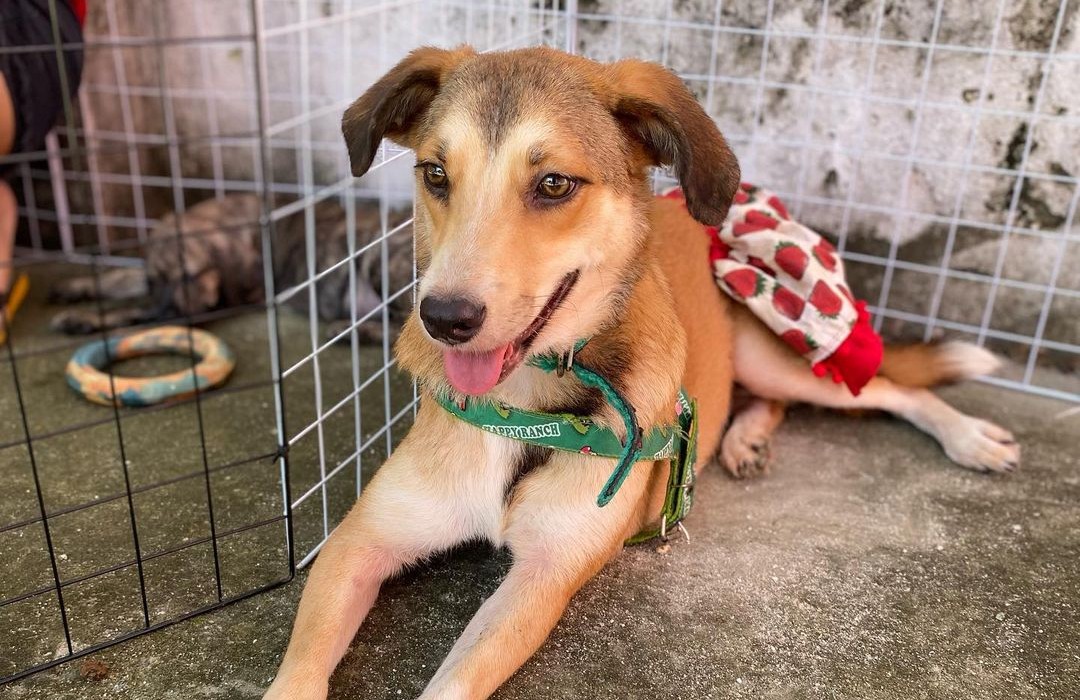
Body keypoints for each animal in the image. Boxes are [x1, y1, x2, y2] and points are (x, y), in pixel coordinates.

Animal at [49, 192, 412, 343]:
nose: (169, 317)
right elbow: (123, 278)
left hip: (381, 256)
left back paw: (353, 330)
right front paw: (76, 295)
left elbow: (135, 316)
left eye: (190, 275)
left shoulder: (222, 300)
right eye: (155, 282)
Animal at [263, 46, 1019, 695]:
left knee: (883, 386)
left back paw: (970, 437)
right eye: (435, 174)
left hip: (776, 355)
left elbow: (454, 681)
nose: (444, 318)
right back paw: (745, 440)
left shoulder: (545, 577)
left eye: (554, 183)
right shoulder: (358, 544)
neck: (524, 407)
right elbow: (297, 672)